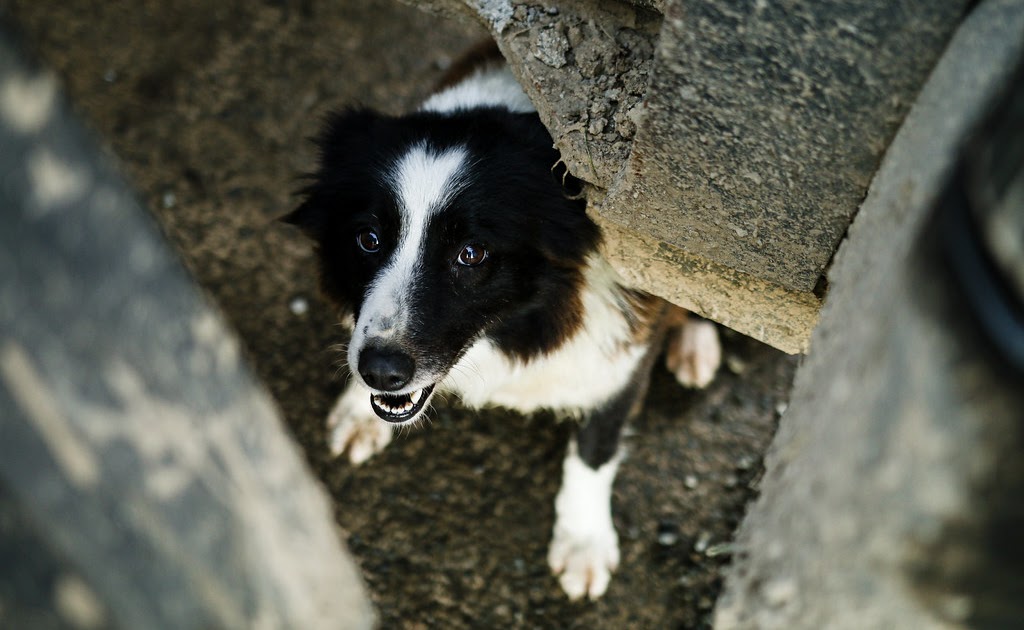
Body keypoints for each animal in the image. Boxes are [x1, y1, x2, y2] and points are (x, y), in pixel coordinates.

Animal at [284, 45, 724, 602]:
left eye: (472, 253)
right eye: (368, 239)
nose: (381, 371)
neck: (513, 331)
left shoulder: (625, 351)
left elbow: (595, 448)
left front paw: (583, 542)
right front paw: (359, 412)